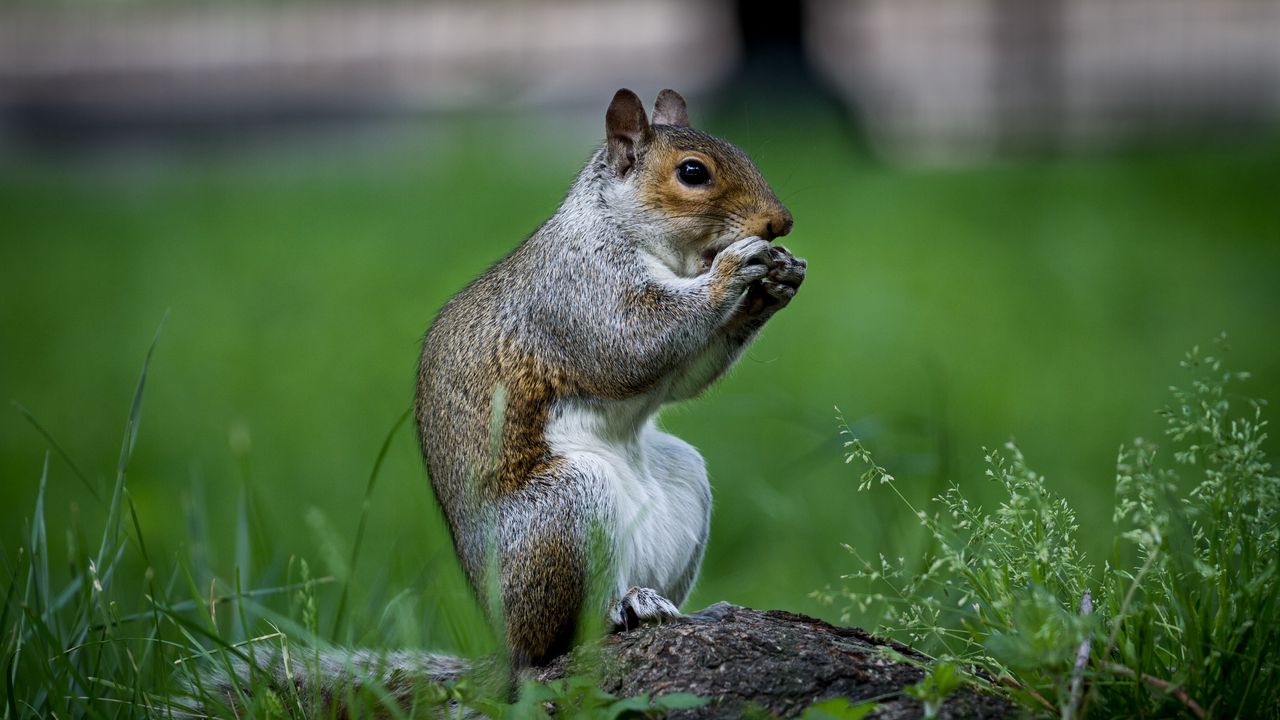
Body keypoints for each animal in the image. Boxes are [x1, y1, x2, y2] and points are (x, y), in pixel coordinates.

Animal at [185, 89, 803, 712]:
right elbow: (635, 343)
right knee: (560, 640)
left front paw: (777, 283)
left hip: (680, 481)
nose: (780, 223)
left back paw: (677, 607)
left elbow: (682, 377)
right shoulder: (577, 290)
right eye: (693, 173)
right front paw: (736, 269)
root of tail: (505, 645)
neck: (635, 235)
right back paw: (623, 609)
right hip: (565, 510)